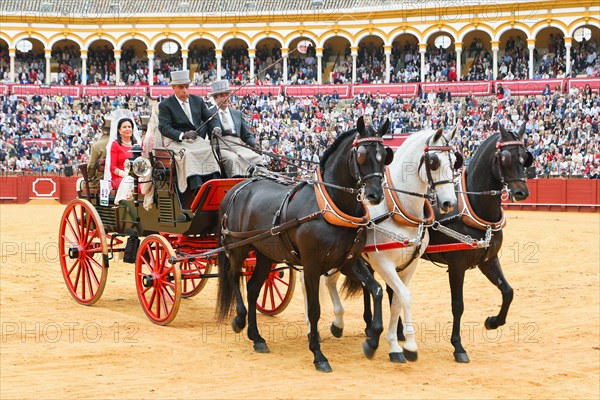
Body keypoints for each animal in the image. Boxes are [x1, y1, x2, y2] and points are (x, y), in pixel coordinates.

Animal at [216, 117, 394, 374]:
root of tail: (236, 189)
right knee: (233, 276)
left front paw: (371, 341)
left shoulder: (349, 262)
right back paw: (240, 319)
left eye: (384, 155)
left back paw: (257, 337)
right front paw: (318, 354)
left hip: (265, 255)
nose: (375, 195)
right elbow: (314, 309)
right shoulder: (312, 265)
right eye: (360, 155)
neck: (329, 206)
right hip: (238, 247)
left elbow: (377, 290)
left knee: (253, 288)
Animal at [302, 127, 458, 362]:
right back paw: (312, 328)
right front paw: (407, 346)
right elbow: (405, 297)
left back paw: (338, 323)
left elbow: (397, 302)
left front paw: (396, 344)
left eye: (456, 161)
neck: (398, 210)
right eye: (433, 162)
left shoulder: (409, 265)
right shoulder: (382, 263)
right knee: (307, 286)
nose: (449, 203)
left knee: (329, 282)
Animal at [424, 122, 532, 362]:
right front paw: (458, 346)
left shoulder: (488, 260)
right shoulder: (456, 265)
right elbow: (458, 305)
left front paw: (493, 322)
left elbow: (508, 291)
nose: (521, 192)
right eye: (505, 158)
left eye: (525, 158)